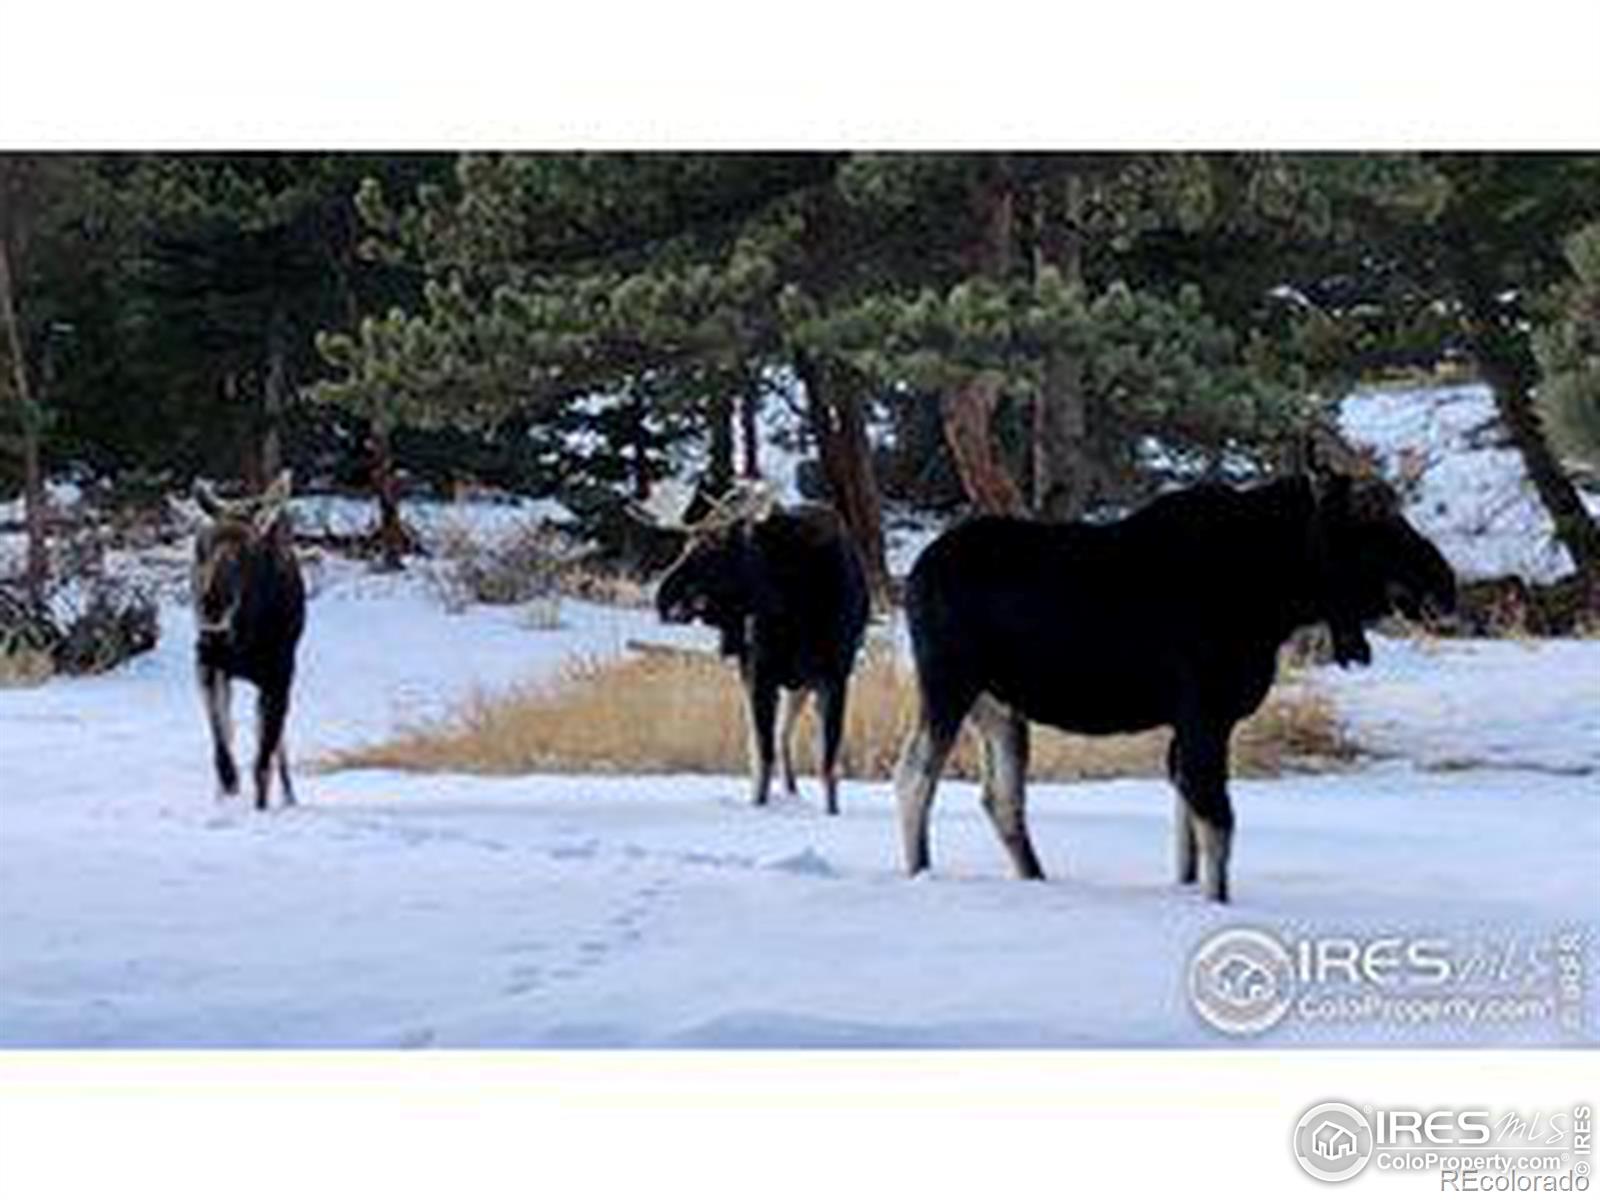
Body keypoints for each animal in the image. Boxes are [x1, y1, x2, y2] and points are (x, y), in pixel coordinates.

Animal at [190, 473, 305, 812]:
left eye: (245, 552)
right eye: (203, 548)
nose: (211, 605)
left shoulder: (280, 675)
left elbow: (264, 758)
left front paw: (261, 805)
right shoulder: (206, 663)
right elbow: (220, 735)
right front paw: (228, 780)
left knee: (275, 744)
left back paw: (289, 796)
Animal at [643, 483, 870, 812]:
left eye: (714, 546)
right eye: (688, 543)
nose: (663, 596)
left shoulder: (835, 676)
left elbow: (827, 761)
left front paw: (832, 812)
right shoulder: (761, 673)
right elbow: (763, 755)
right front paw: (758, 805)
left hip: (800, 684)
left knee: (784, 734)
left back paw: (791, 789)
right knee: (765, 740)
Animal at [896, 451, 1459, 902]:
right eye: (1370, 523)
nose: (1444, 584)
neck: (1276, 594)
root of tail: (915, 575)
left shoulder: (1195, 723)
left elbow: (1190, 829)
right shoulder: (1204, 711)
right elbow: (1218, 822)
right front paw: (1217, 902)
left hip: (999, 707)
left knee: (1002, 797)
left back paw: (1033, 877)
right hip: (949, 683)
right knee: (916, 775)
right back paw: (920, 872)